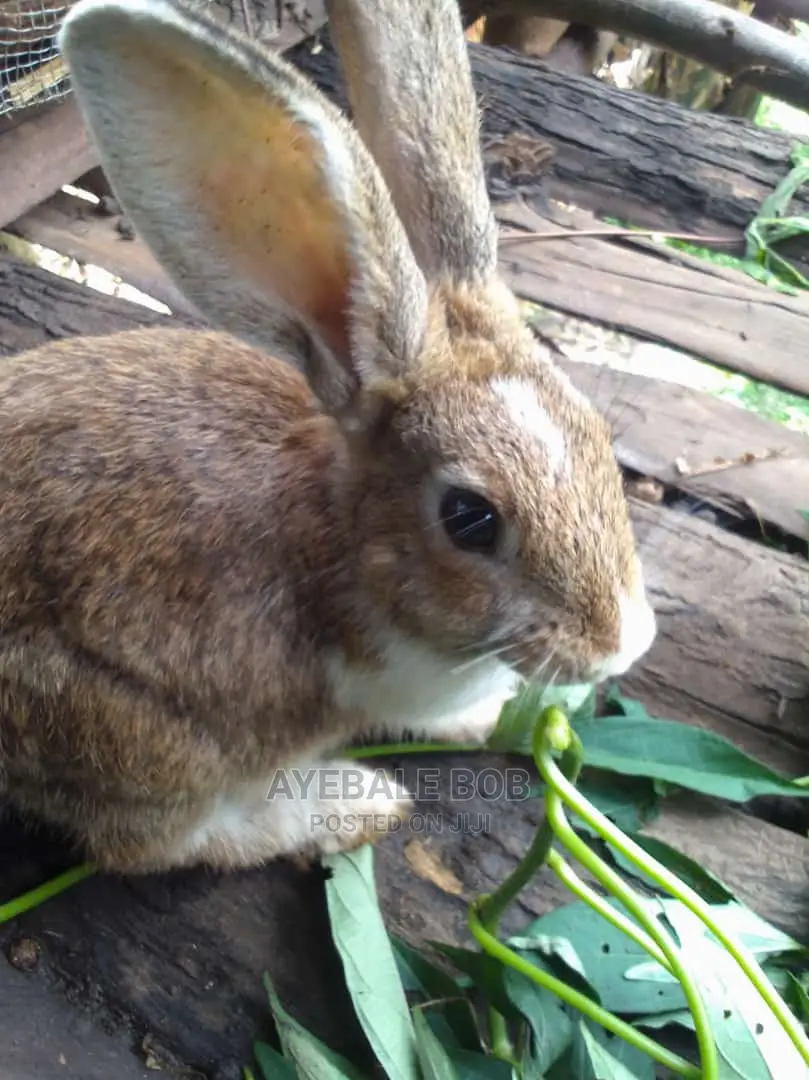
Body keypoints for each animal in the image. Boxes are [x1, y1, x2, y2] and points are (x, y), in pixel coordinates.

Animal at [0, 0, 656, 875]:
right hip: (124, 736)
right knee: (154, 842)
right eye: (469, 520)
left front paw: (491, 716)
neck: (344, 545)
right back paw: (349, 806)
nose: (617, 644)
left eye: (600, 441)